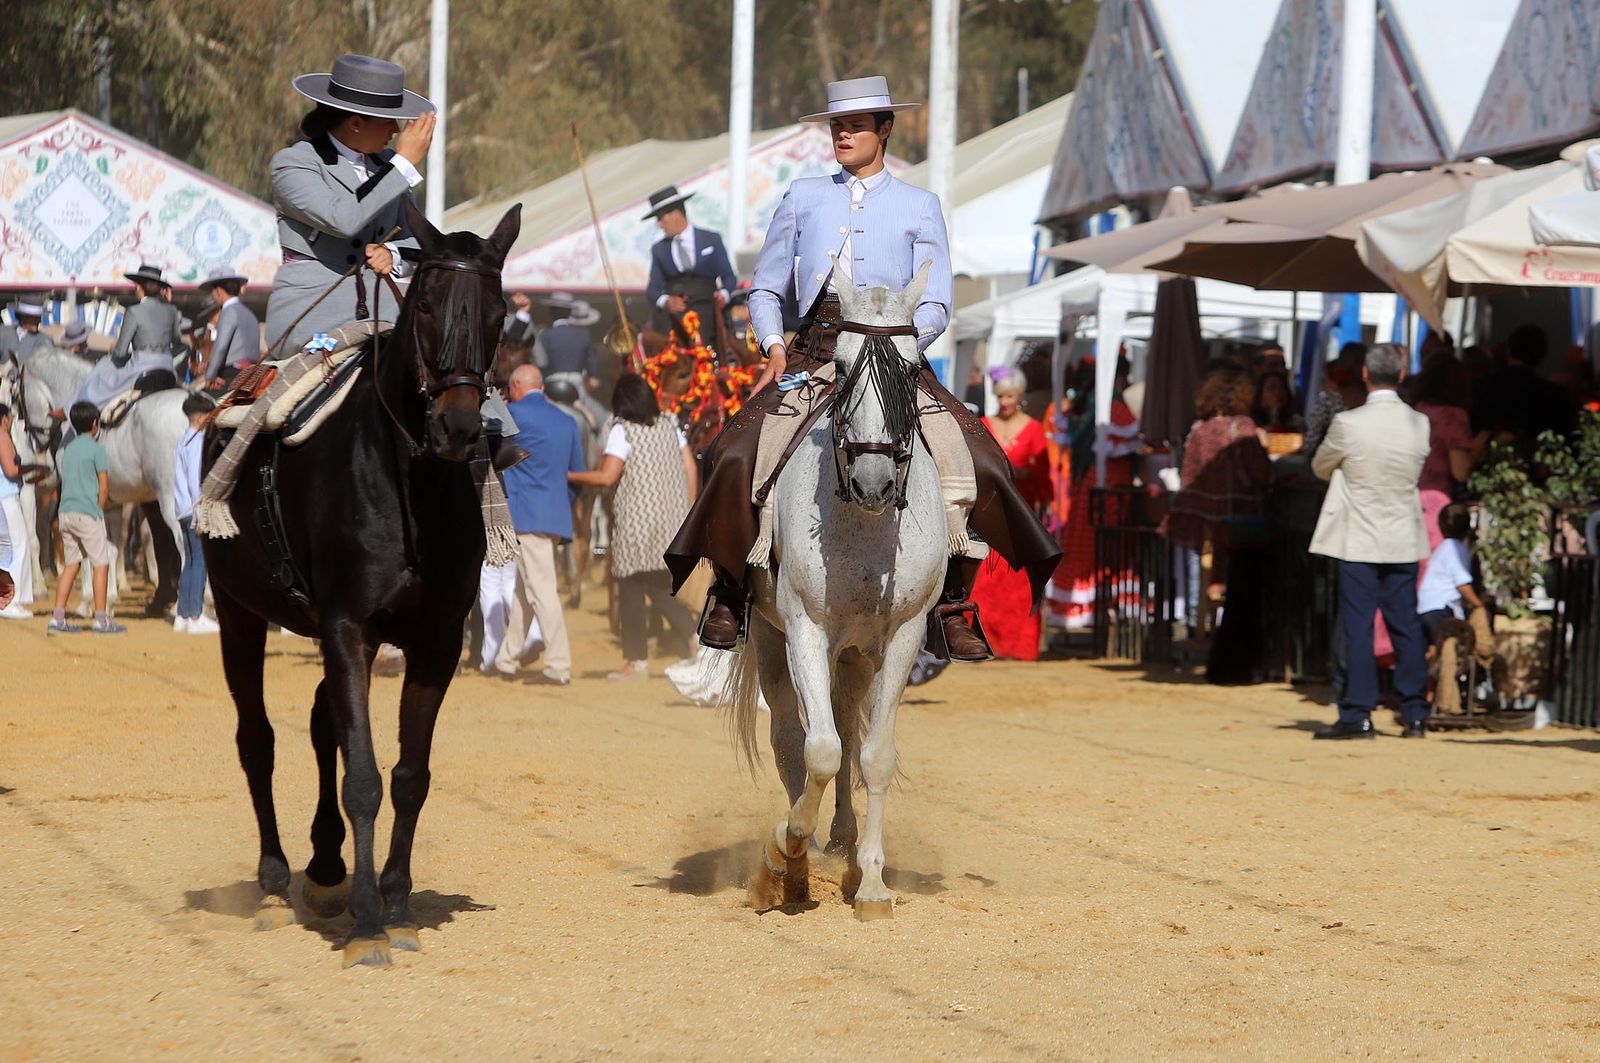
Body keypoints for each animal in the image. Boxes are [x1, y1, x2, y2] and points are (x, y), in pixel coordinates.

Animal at [204, 201, 520, 968]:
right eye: (427, 302)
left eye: (500, 312)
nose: (457, 426)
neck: (411, 487)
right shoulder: (349, 627)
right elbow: (366, 777)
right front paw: (369, 922)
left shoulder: (433, 641)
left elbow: (407, 774)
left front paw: (397, 904)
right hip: (238, 611)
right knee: (257, 738)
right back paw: (274, 881)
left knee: (323, 727)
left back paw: (324, 869)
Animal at [728, 262, 946, 920]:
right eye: (844, 365)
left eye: (911, 367)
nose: (874, 481)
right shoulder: (805, 630)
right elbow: (818, 750)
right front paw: (784, 849)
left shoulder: (902, 637)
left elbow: (872, 755)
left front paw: (872, 881)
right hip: (771, 638)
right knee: (790, 738)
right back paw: (796, 860)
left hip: (856, 655)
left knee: (849, 732)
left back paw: (845, 842)